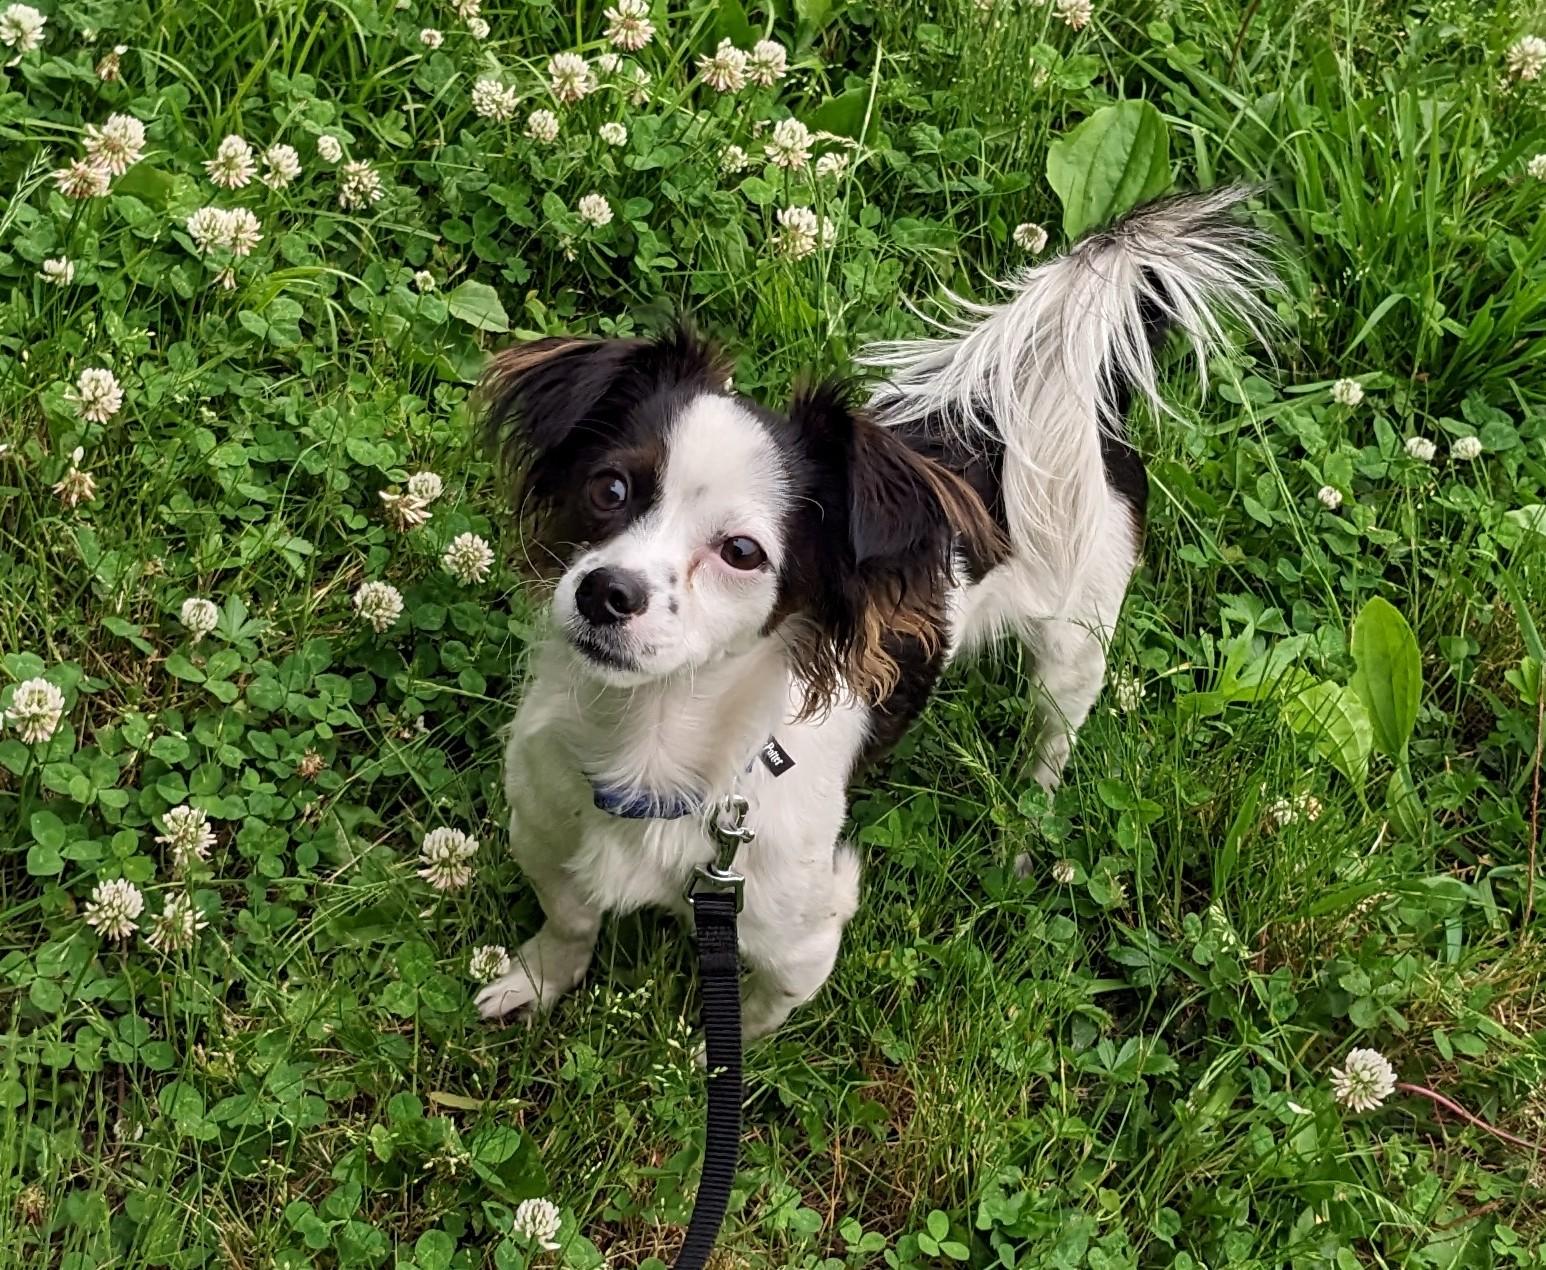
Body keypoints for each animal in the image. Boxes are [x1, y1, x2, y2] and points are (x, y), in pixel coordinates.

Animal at [476, 191, 1273, 1039]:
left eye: (742, 552)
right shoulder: (543, 830)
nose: (606, 591)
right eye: (610, 489)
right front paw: (534, 981)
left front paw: (707, 1055)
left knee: (1048, 750)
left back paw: (1024, 838)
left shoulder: (803, 937)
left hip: (1075, 651)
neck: (651, 748)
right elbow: (569, 922)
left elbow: (753, 1018)